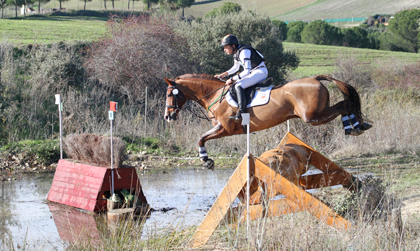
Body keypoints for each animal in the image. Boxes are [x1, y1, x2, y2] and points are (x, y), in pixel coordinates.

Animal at [164, 73, 370, 170]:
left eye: (169, 94)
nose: (168, 116)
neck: (215, 95)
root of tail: (315, 78)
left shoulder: (225, 129)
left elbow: (201, 138)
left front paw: (206, 160)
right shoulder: (220, 128)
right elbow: (201, 137)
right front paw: (206, 160)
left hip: (313, 117)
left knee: (343, 106)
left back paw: (354, 127)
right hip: (316, 115)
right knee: (345, 104)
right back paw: (358, 125)